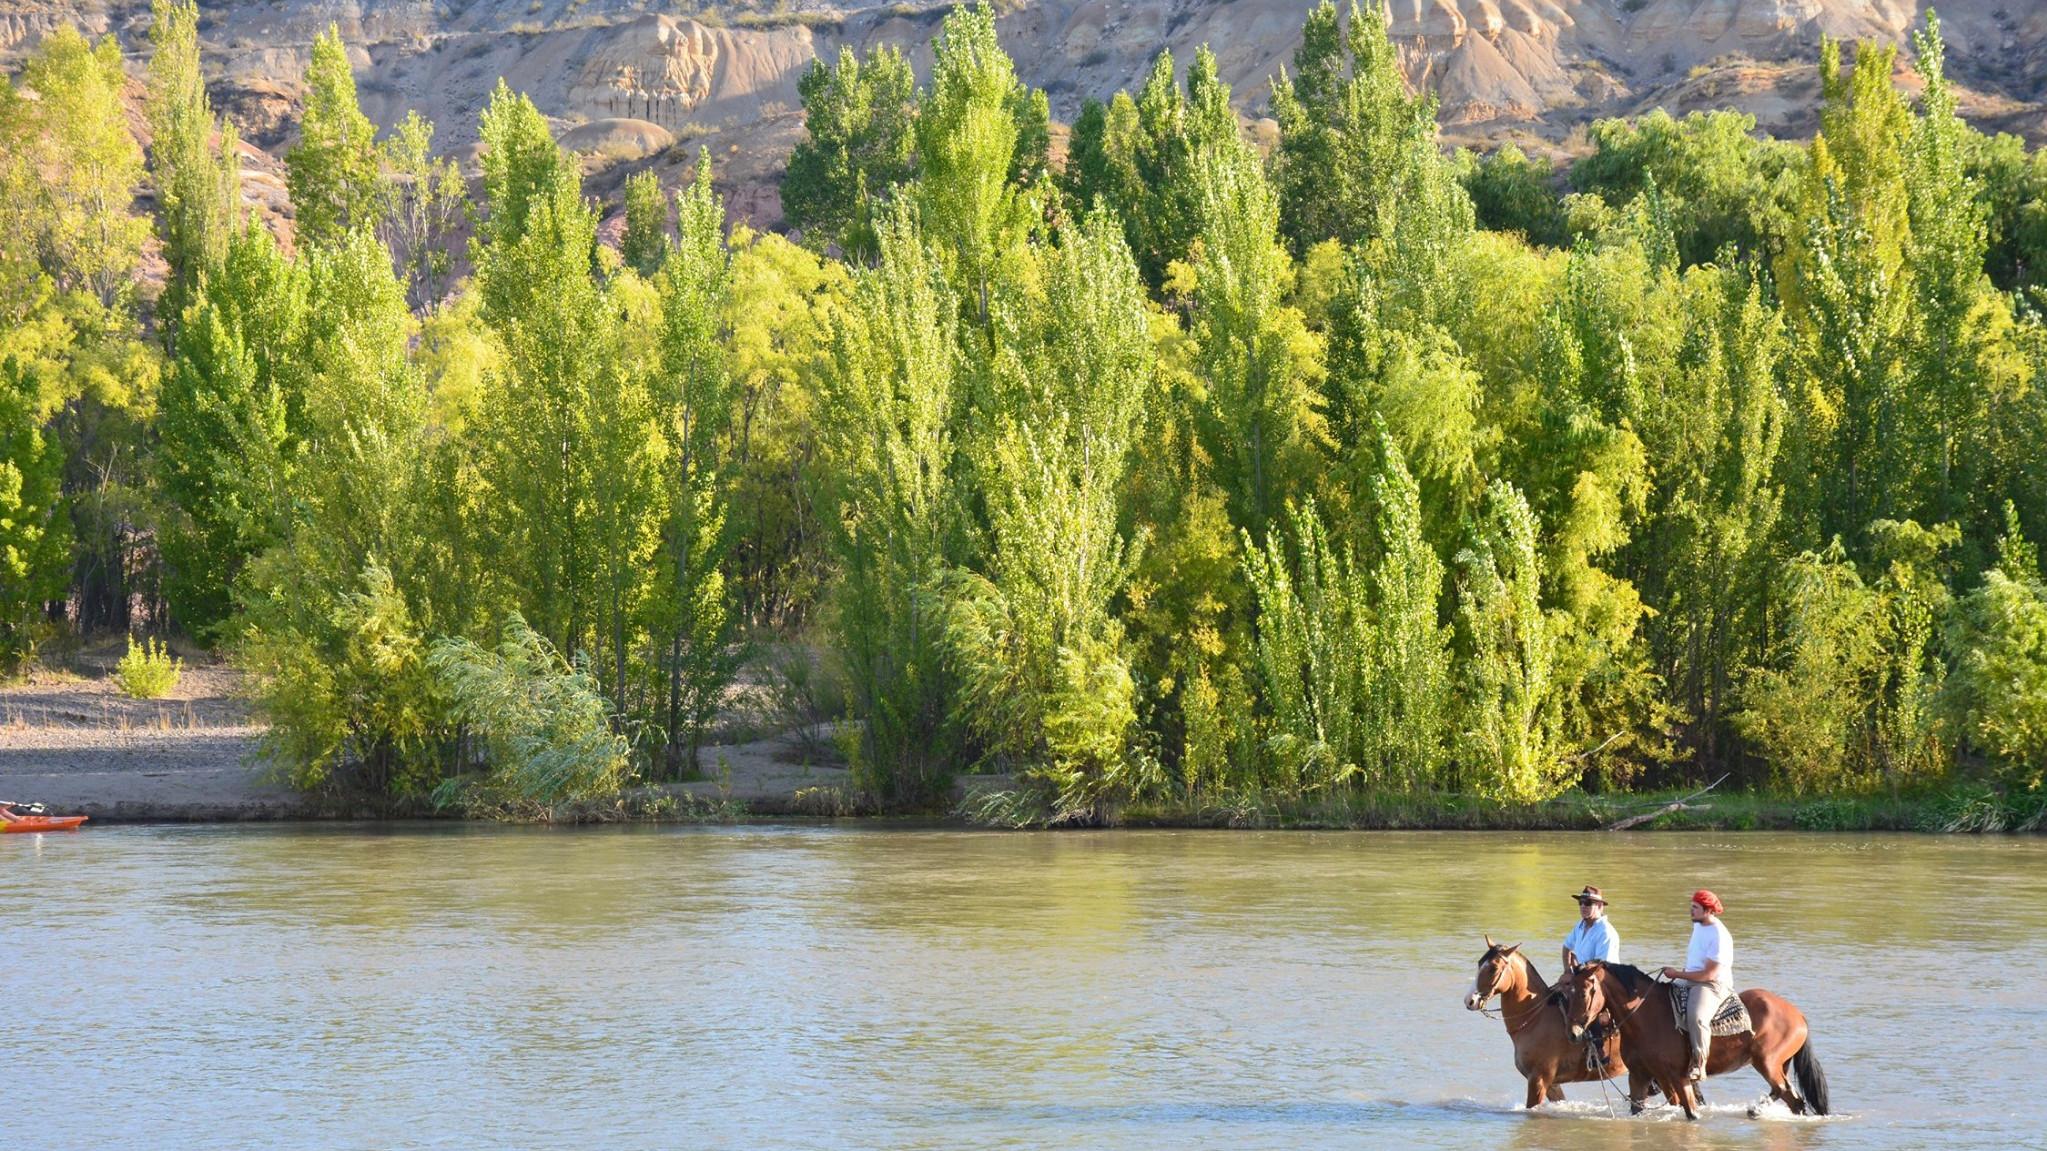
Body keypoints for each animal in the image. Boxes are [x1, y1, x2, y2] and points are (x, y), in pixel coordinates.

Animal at [1465, 936, 1642, 1110]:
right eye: (1479, 963)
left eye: (1493, 968)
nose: (1470, 1000)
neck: (1536, 1018)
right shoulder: (1551, 1085)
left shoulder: (1538, 1080)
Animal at [1559, 960, 1830, 1121]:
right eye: (1568, 990)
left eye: (1584, 992)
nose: (1572, 1032)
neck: (1647, 1017)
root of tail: (1798, 1015)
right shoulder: (1639, 1076)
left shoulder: (1679, 1079)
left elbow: (1691, 1112)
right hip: (1776, 1064)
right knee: (1789, 1096)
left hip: (1768, 1063)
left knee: (1789, 1095)